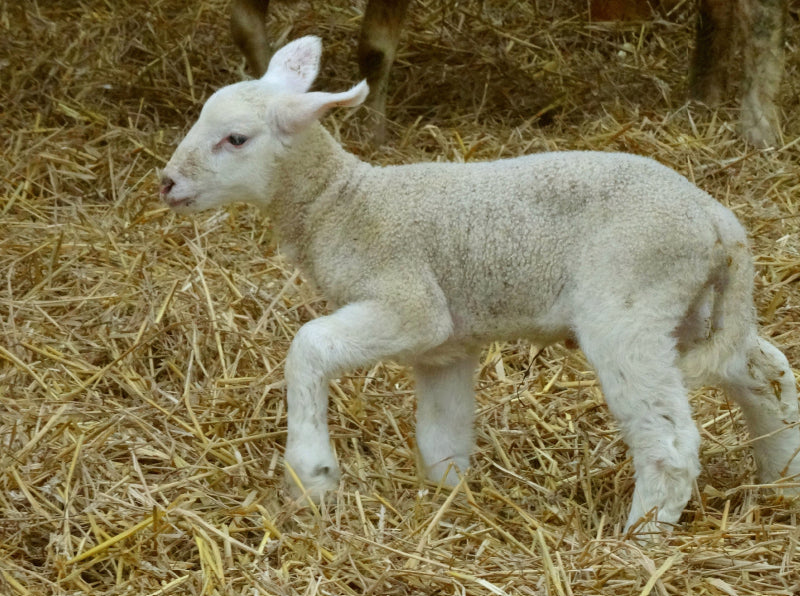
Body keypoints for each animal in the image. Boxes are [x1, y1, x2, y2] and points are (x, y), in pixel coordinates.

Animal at [161, 36, 800, 532]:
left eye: (236, 139)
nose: (166, 183)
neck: (342, 203)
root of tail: (717, 220)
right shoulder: (445, 345)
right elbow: (441, 438)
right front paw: (448, 501)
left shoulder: (410, 304)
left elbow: (308, 345)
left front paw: (312, 474)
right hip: (693, 308)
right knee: (764, 370)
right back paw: (781, 476)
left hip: (631, 305)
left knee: (670, 442)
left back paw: (638, 536)